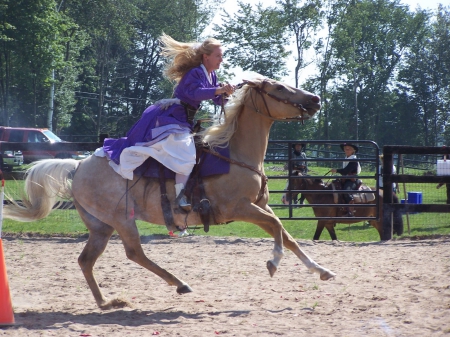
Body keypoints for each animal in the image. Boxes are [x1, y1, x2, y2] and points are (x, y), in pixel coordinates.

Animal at [3, 77, 334, 308]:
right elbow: (278, 228)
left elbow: (287, 235)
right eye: (279, 87)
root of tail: (78, 164)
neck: (234, 154)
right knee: (134, 252)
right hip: (122, 220)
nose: (315, 99)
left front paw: (321, 270)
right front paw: (273, 262)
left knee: (86, 260)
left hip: (101, 226)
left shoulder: (260, 207)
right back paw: (179, 284)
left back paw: (106, 301)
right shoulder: (240, 209)